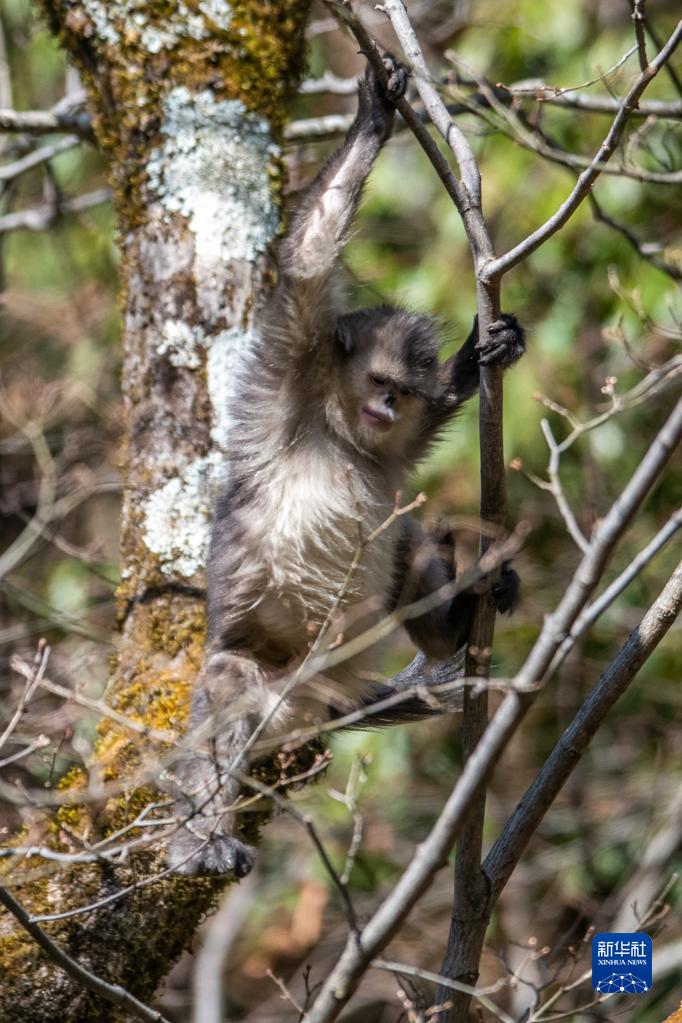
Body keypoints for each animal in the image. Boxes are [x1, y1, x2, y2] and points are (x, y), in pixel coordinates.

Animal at [166, 56, 525, 879]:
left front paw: (477, 358)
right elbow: (305, 260)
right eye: (380, 384)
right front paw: (372, 122)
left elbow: (415, 454)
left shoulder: (388, 442)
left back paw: (459, 619)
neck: (339, 432)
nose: (387, 409)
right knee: (228, 684)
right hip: (264, 681)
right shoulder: (290, 368)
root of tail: (314, 693)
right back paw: (200, 837)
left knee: (411, 537)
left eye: (403, 392)